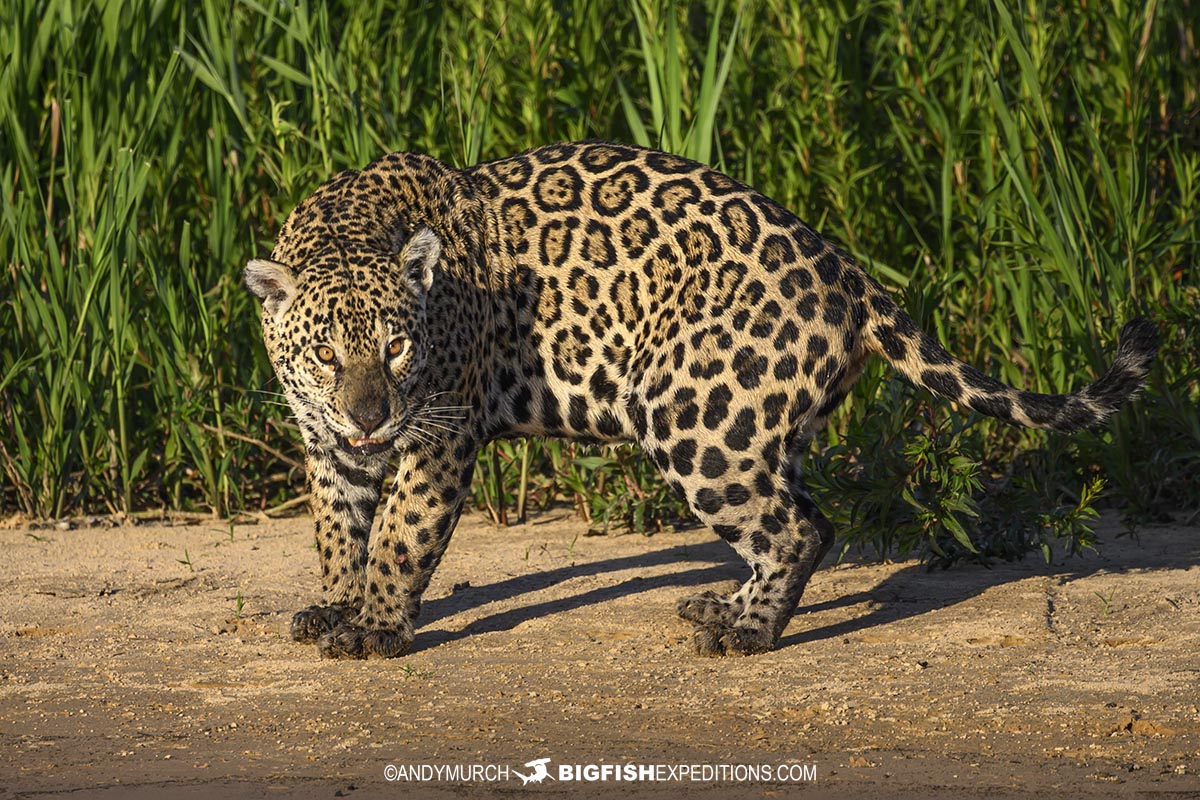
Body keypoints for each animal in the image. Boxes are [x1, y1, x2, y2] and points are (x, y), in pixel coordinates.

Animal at [244, 140, 1157, 659]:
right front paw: (336, 606)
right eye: (325, 354)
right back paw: (729, 609)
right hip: (754, 424)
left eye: (397, 347)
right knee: (806, 519)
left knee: (795, 527)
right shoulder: (328, 450)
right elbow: (338, 532)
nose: (369, 416)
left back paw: (746, 635)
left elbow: (400, 535)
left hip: (695, 418)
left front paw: (376, 628)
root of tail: (850, 273)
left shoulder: (440, 430)